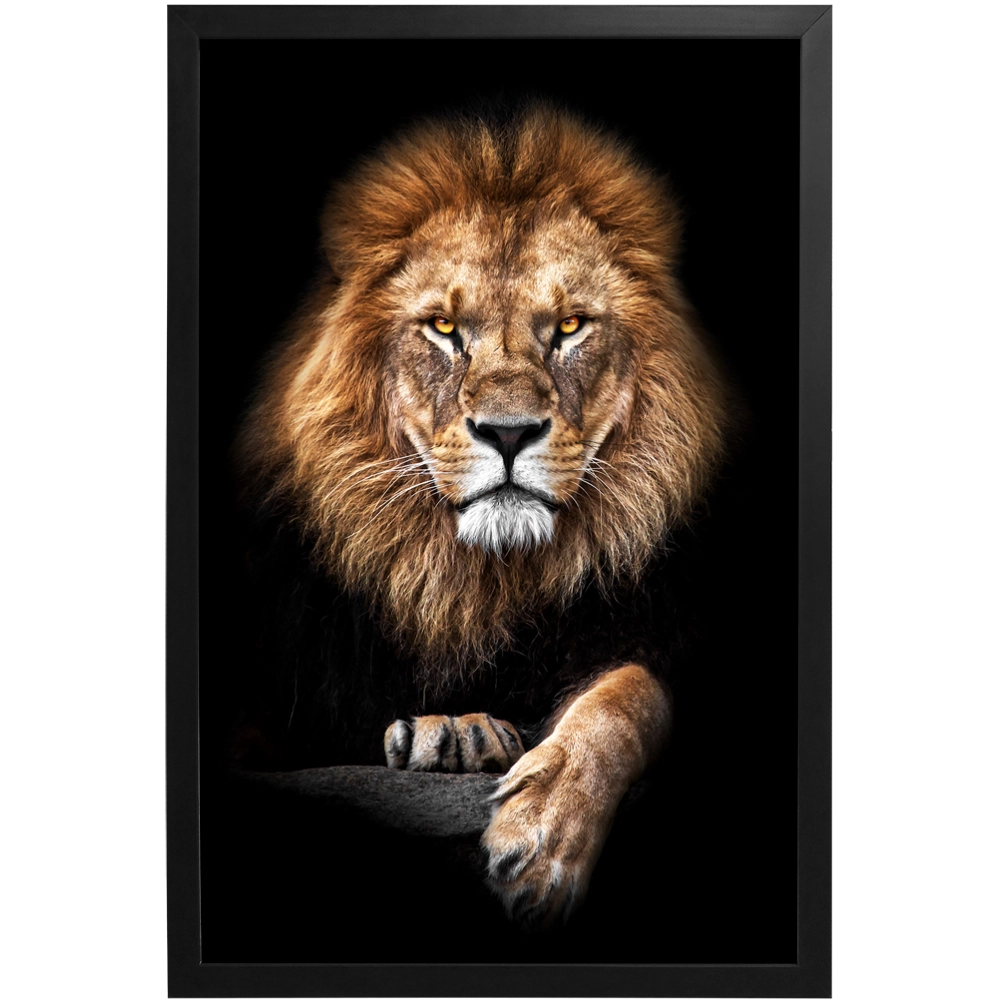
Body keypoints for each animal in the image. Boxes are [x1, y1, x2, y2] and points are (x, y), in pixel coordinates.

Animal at [233, 103, 730, 929]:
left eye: (570, 327)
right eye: (442, 329)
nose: (507, 432)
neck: (477, 581)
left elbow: (630, 696)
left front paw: (545, 836)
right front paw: (453, 734)